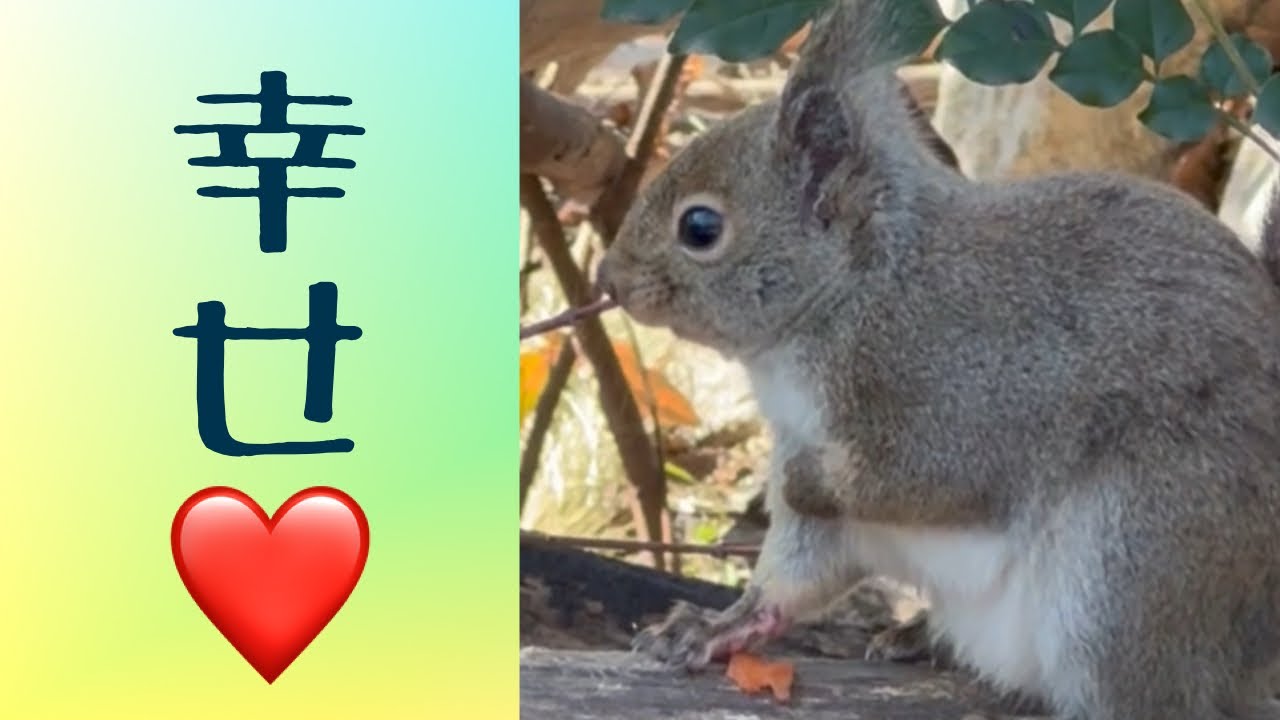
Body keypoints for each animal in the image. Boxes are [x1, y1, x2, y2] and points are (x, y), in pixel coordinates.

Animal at [593, 0, 1280, 717]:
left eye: (700, 228)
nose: (610, 280)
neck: (850, 294)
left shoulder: (955, 386)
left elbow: (922, 479)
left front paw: (800, 481)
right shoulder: (816, 492)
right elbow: (792, 579)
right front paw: (718, 625)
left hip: (1133, 567)